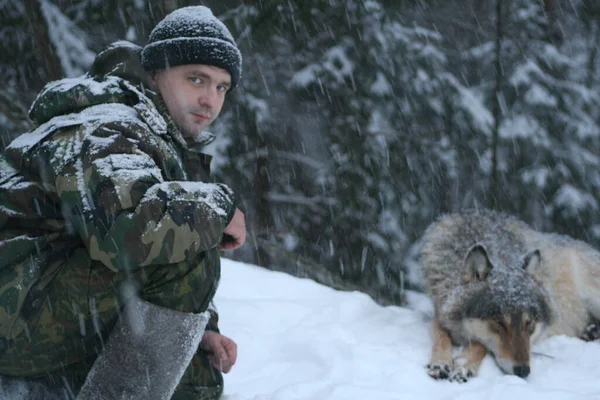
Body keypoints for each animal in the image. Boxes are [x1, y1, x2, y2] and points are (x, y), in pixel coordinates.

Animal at [420, 209, 600, 382]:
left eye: (529, 322)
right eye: (499, 322)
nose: (523, 371)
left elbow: (479, 344)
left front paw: (463, 367)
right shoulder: (440, 309)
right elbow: (441, 336)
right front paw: (440, 363)